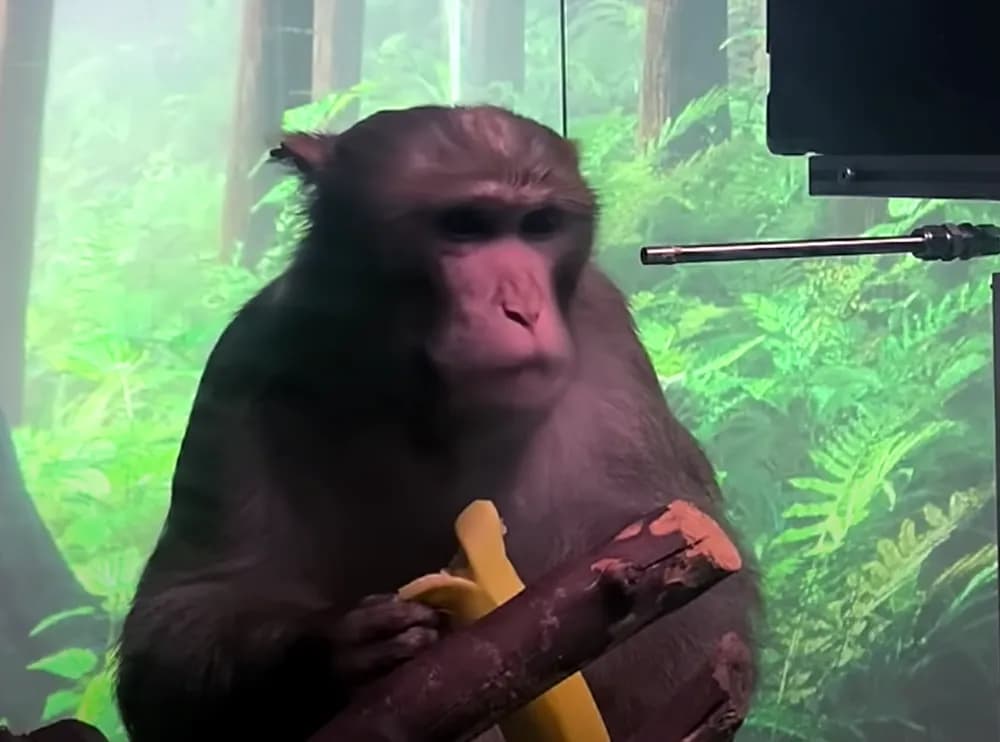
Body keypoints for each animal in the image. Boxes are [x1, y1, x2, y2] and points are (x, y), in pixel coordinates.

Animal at [114, 104, 761, 742]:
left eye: (539, 225)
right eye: (464, 226)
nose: (522, 308)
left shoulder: (607, 345)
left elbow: (693, 605)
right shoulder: (249, 359)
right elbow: (181, 619)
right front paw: (328, 648)